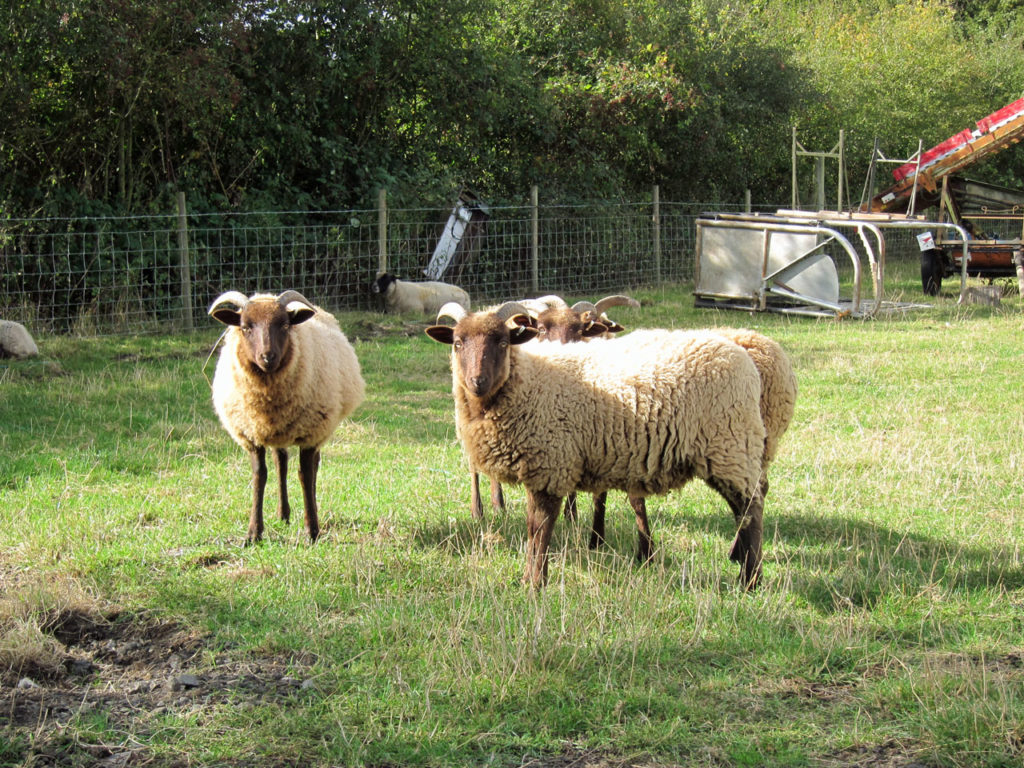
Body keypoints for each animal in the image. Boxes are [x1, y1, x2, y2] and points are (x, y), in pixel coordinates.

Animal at [207, 288, 364, 548]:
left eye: (284, 325)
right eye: (245, 326)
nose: (267, 357)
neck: (268, 396)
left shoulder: (311, 432)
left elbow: (305, 475)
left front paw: (312, 530)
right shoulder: (252, 434)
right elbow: (260, 476)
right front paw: (253, 534)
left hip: (318, 427)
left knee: (312, 467)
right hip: (278, 433)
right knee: (281, 465)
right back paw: (283, 514)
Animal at [423, 303, 770, 593]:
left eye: (503, 342)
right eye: (457, 342)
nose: (477, 381)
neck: (526, 383)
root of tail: (743, 358)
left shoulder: (550, 466)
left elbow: (540, 529)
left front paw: (535, 585)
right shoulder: (540, 468)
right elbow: (535, 529)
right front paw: (531, 580)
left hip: (730, 446)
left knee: (751, 510)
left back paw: (750, 581)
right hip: (729, 451)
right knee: (744, 510)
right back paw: (745, 573)